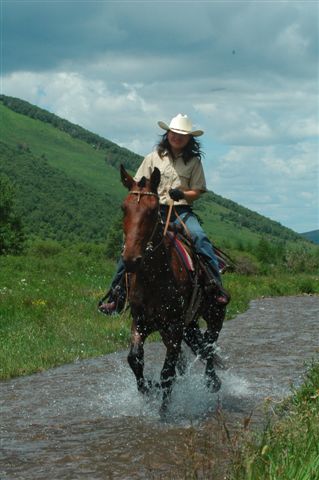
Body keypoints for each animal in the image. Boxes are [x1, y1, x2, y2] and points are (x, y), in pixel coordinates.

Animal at [120, 165, 228, 412]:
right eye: (124, 208)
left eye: (152, 211)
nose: (131, 260)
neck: (154, 276)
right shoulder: (141, 320)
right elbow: (135, 358)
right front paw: (148, 388)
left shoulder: (174, 325)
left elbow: (167, 372)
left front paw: (165, 408)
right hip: (186, 325)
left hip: (214, 314)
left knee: (209, 346)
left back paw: (212, 382)